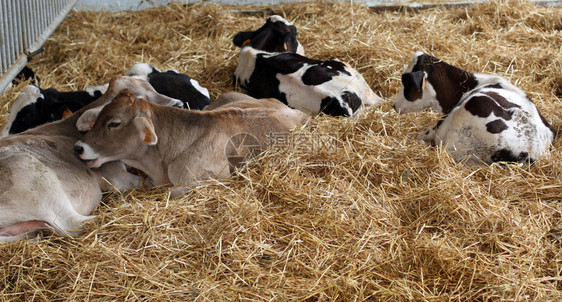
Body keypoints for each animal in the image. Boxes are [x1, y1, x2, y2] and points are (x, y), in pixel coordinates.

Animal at [0, 76, 182, 242]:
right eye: (140, 100)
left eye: (152, 88)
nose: (179, 104)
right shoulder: (118, 178)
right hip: (36, 180)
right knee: (74, 223)